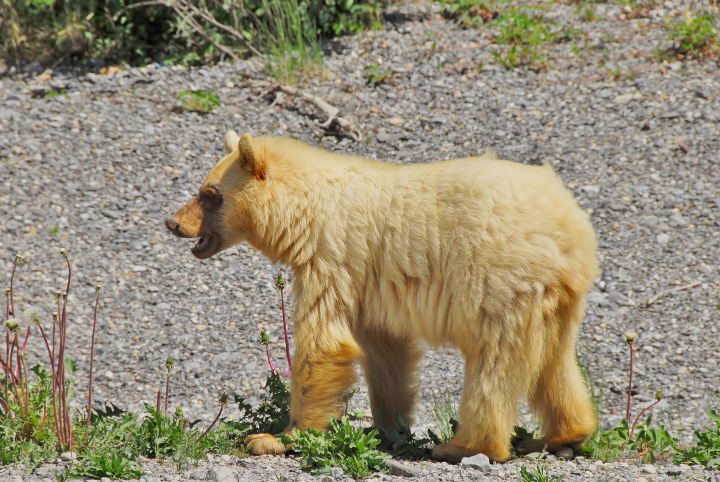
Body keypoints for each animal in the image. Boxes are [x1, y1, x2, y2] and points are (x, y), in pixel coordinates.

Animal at [165, 131, 598, 462]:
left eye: (209, 194)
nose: (173, 222)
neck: (306, 211)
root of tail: (568, 223)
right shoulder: (371, 290)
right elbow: (386, 352)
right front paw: (389, 427)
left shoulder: (332, 259)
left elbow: (324, 343)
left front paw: (280, 436)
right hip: (559, 297)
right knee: (554, 361)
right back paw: (563, 434)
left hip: (499, 279)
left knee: (495, 362)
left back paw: (464, 445)